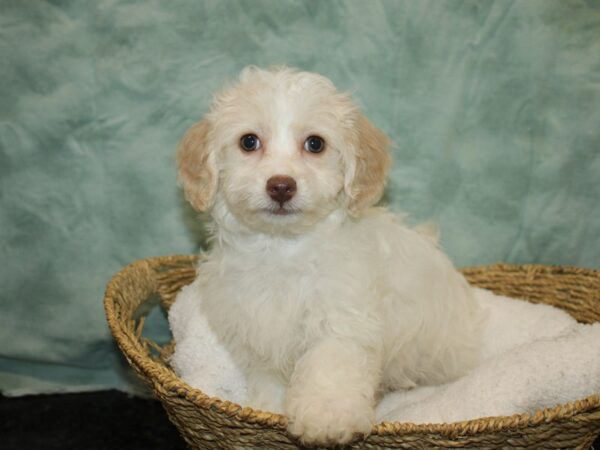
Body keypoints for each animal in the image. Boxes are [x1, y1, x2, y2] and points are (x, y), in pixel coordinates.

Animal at [176, 66, 486, 442]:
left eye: (315, 144)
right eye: (248, 142)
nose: (281, 185)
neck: (284, 249)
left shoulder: (342, 322)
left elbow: (328, 369)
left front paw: (326, 419)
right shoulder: (260, 328)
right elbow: (269, 379)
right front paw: (265, 410)